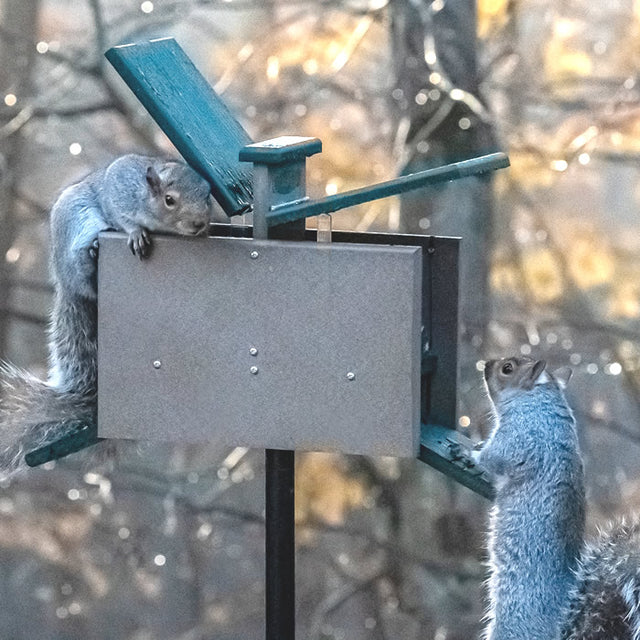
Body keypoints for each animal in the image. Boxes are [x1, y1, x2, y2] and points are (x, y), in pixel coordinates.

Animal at [0, 154, 215, 476]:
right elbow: (122, 215)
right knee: (81, 270)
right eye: (169, 200)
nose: (199, 223)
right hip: (75, 223)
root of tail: (63, 281)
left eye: (208, 197)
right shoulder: (119, 189)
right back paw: (90, 255)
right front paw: (136, 233)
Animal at [478, 358, 640, 636]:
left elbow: (493, 457)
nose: (486, 365)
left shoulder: (518, 437)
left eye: (507, 368)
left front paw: (470, 452)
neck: (539, 399)